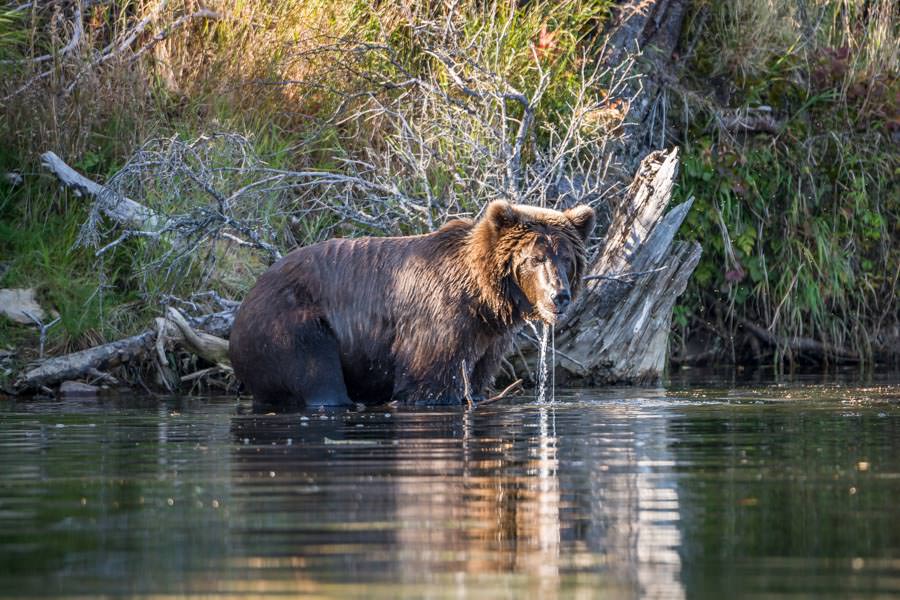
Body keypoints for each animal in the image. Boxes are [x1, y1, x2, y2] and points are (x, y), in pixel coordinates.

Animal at [228, 200, 595, 407]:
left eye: (566, 259)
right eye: (534, 258)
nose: (558, 295)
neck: (483, 300)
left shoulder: (488, 339)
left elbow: (477, 379)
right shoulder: (439, 320)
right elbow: (428, 383)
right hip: (292, 327)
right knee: (318, 378)